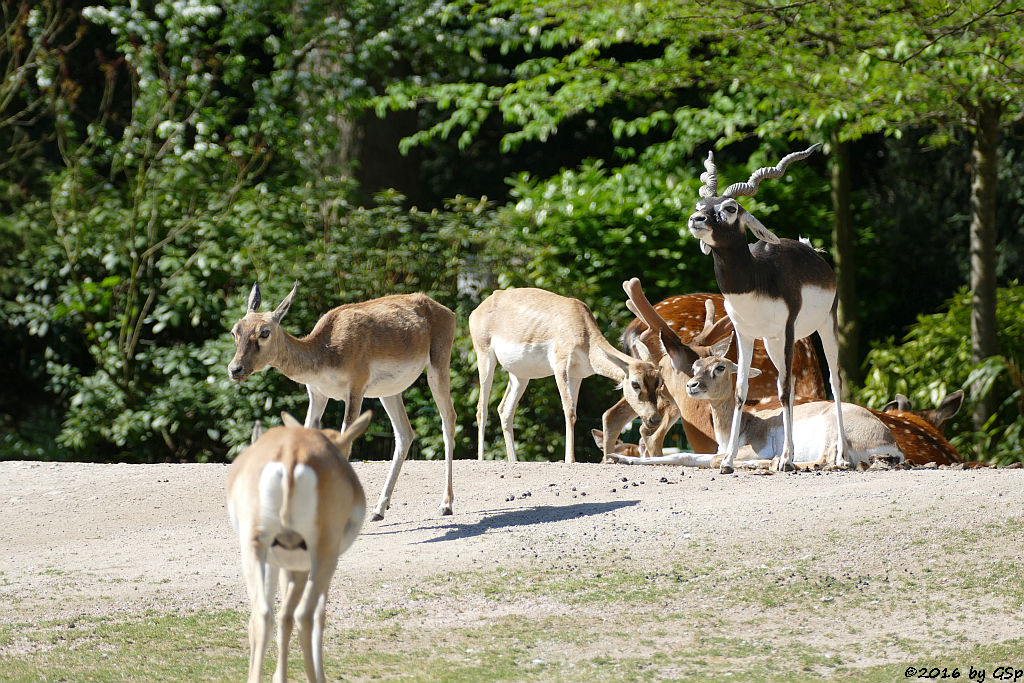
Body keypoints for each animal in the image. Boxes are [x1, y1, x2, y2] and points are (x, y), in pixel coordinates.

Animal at [228, 411, 372, 683]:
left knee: (262, 614)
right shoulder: (311, 565)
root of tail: (290, 455)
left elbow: (279, 616)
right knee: (304, 615)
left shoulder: (283, 563)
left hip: (254, 549)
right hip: (323, 556)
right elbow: (316, 614)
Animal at [232, 282, 460, 518]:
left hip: (437, 370)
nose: (235, 369)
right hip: (389, 392)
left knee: (448, 420)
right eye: (235, 331)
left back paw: (446, 504)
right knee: (405, 434)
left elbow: (344, 444)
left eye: (264, 332)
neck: (326, 348)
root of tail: (442, 309)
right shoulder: (317, 395)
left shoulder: (355, 392)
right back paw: (379, 509)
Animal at [692, 143, 851, 475]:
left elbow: (785, 389)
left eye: (730, 208)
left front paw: (786, 458)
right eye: (701, 202)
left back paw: (841, 457)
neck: (757, 279)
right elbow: (742, 390)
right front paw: (727, 461)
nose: (696, 219)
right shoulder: (745, 333)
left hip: (824, 328)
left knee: (834, 380)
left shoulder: (788, 331)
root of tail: (814, 252)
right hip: (771, 343)